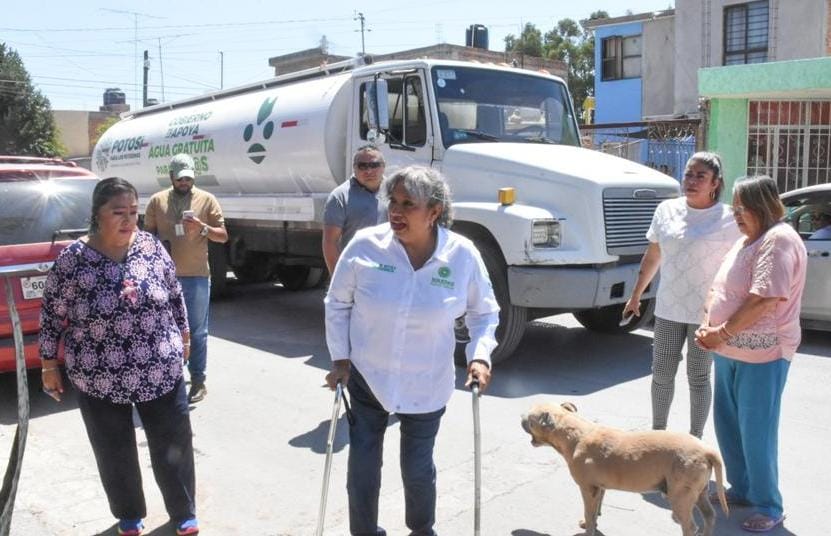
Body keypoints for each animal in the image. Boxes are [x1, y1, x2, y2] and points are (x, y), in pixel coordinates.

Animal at [528, 402, 728, 536]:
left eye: (529, 418)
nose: (521, 416)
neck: (576, 434)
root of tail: (706, 450)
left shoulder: (588, 488)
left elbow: (589, 512)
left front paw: (589, 529)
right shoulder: (599, 488)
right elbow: (595, 512)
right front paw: (590, 523)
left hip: (680, 497)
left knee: (690, 526)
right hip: (699, 493)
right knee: (710, 516)